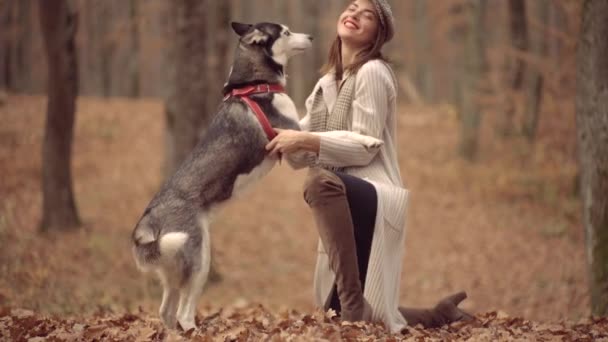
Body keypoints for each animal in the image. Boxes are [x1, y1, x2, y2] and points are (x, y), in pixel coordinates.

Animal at [133, 22, 314, 332]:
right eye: (286, 32)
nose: (312, 37)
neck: (255, 85)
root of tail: (148, 218)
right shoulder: (293, 142)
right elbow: (323, 129)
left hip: (175, 268)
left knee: (166, 311)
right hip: (199, 260)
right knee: (182, 313)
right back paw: (193, 330)